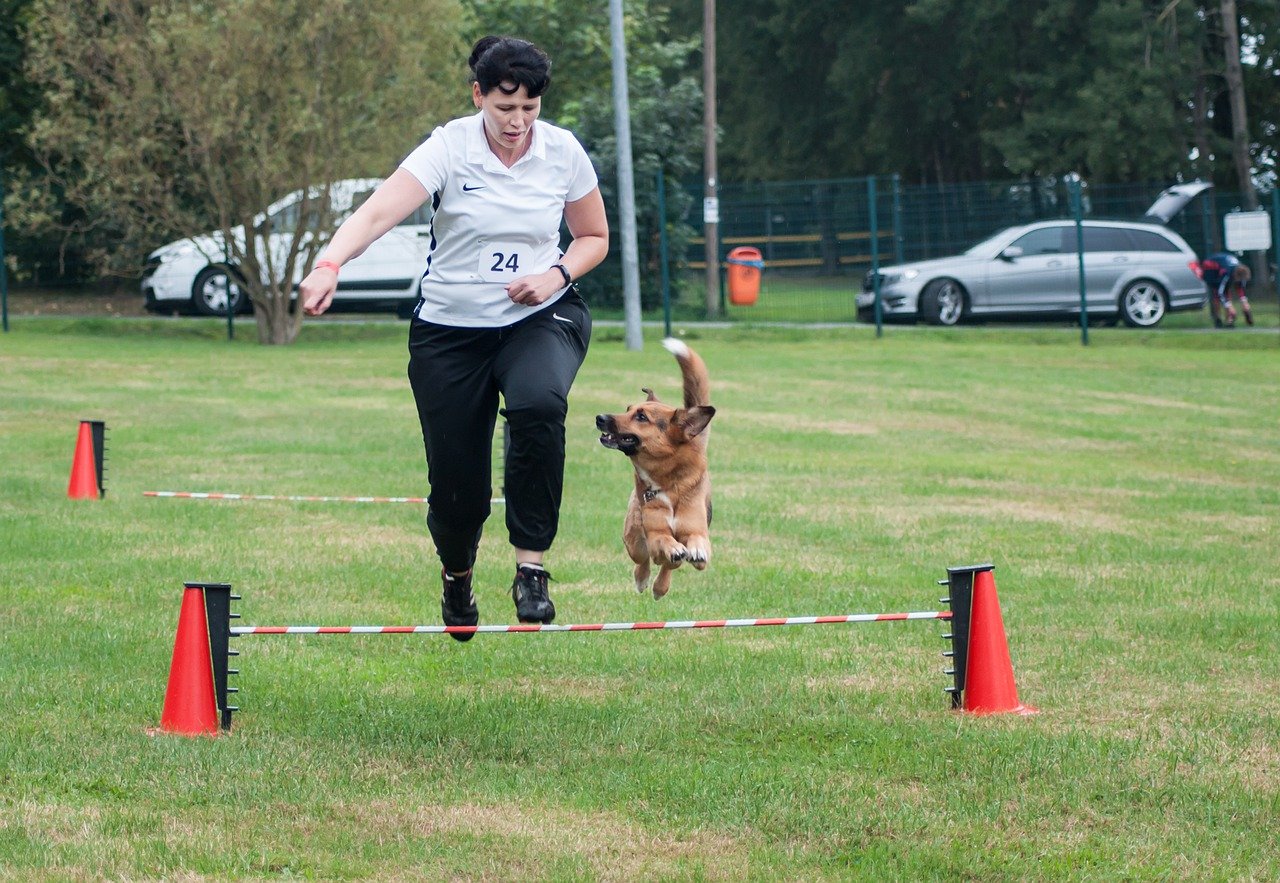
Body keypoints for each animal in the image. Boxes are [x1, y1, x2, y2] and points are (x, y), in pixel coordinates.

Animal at [593, 337, 716, 598]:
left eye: (641, 417)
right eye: (628, 409)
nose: (599, 418)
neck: (669, 481)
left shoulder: (696, 529)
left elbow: (697, 545)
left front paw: (696, 551)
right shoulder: (656, 534)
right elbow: (664, 543)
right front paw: (670, 551)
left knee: (669, 565)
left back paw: (661, 585)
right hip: (634, 539)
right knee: (644, 558)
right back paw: (643, 579)